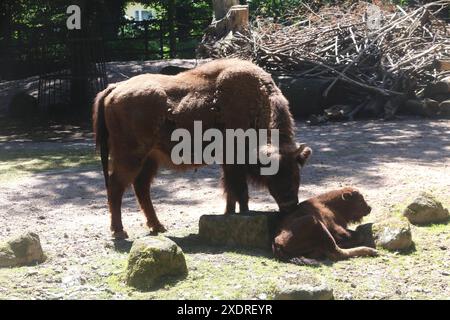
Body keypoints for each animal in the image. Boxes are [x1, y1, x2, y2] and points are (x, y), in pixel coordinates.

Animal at [91, 58, 310, 238]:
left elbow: (231, 191)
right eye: (276, 173)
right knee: (117, 186)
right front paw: (242, 214)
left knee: (140, 187)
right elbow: (240, 190)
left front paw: (229, 214)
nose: (290, 205)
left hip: (150, 158)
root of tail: (114, 88)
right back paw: (120, 232)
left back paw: (158, 227)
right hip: (131, 156)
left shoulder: (228, 162)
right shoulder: (234, 160)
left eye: (296, 173)